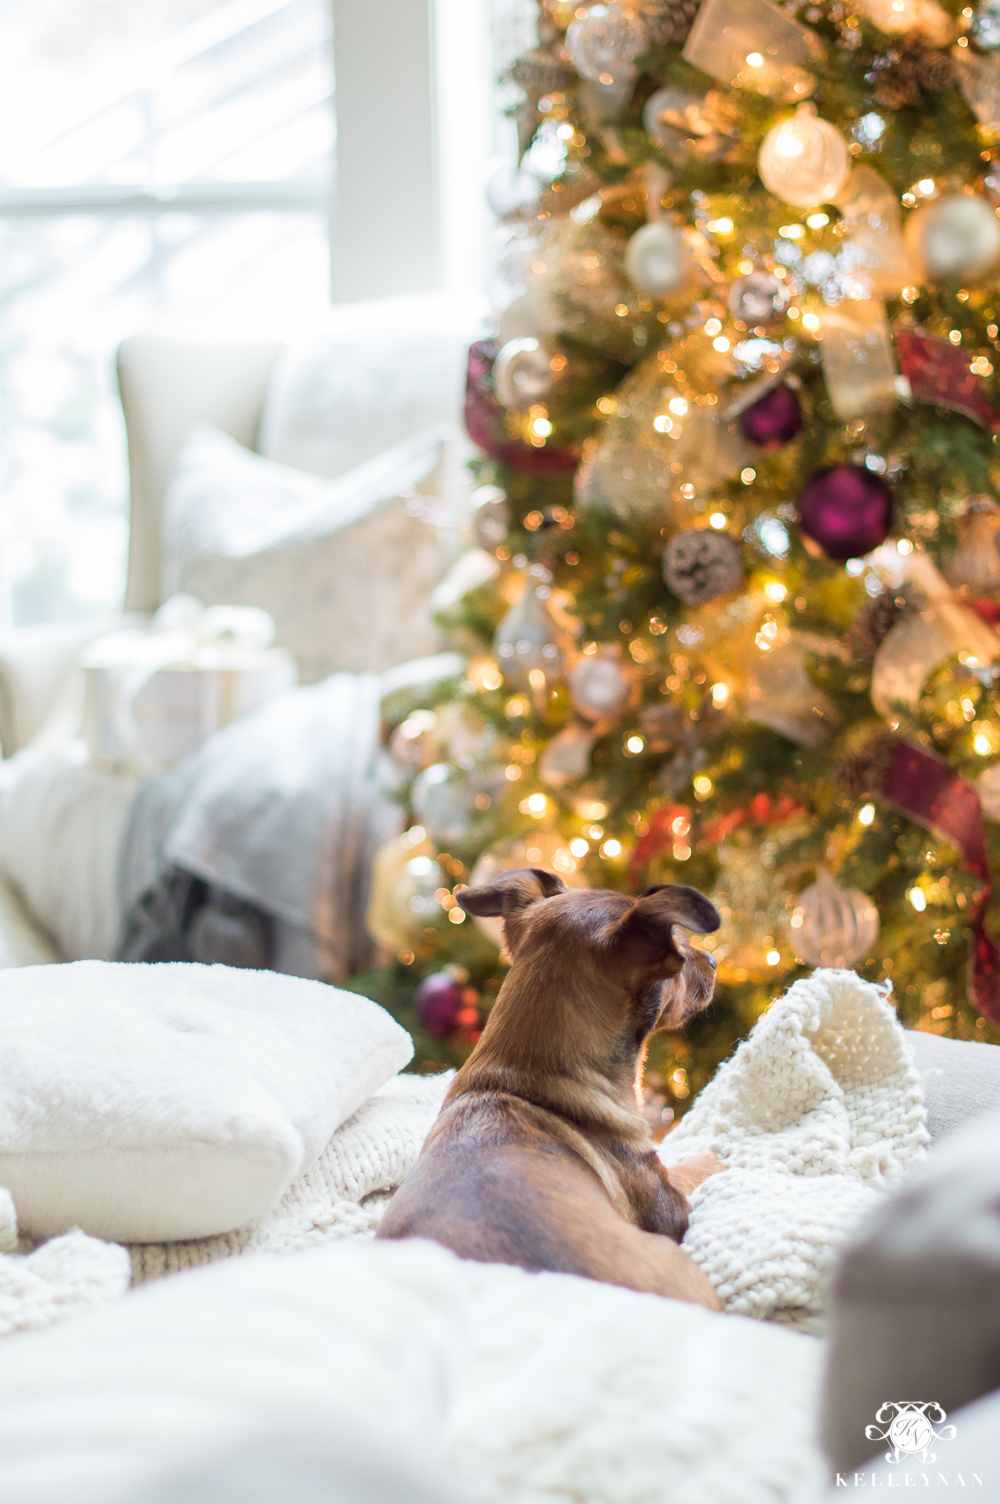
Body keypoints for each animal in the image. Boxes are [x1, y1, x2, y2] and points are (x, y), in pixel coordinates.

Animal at [374, 866, 724, 1311]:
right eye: (679, 948)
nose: (713, 960)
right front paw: (713, 1158)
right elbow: (692, 1167)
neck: (523, 1078)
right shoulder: (668, 1202)